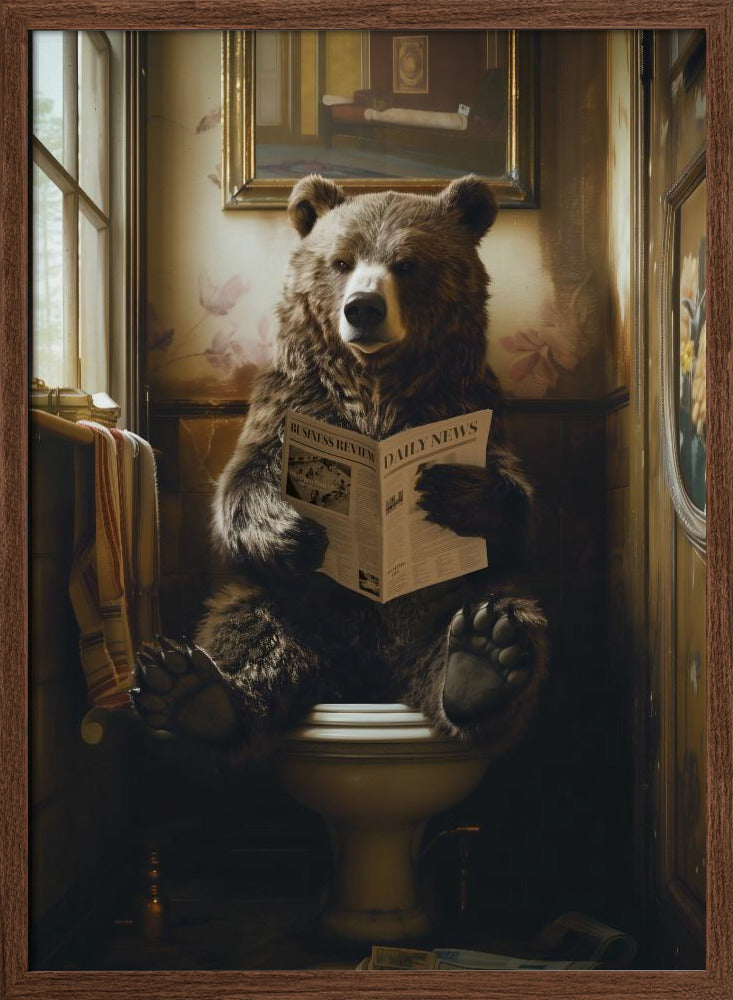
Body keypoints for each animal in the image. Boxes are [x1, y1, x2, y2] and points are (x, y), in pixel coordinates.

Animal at [134, 174, 548, 761]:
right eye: (340, 260)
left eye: (406, 262)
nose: (363, 307)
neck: (375, 389)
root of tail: (370, 683)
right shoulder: (291, 404)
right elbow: (240, 486)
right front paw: (289, 527)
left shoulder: (467, 401)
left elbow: (517, 512)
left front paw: (454, 489)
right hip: (305, 609)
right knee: (250, 621)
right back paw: (195, 694)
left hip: (439, 607)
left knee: (505, 604)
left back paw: (482, 664)